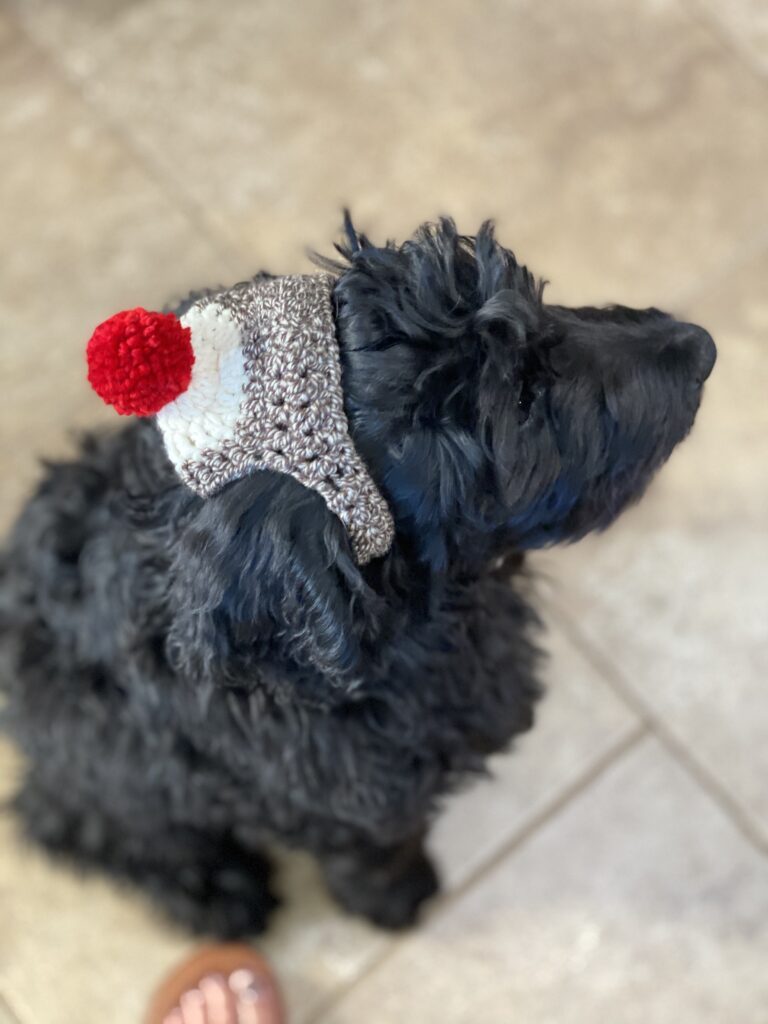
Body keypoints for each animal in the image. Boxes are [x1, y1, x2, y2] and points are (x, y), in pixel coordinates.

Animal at [0, 218, 716, 937]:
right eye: (521, 398)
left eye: (538, 300)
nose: (702, 347)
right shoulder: (343, 805)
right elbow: (374, 848)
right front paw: (398, 899)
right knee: (78, 823)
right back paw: (218, 894)